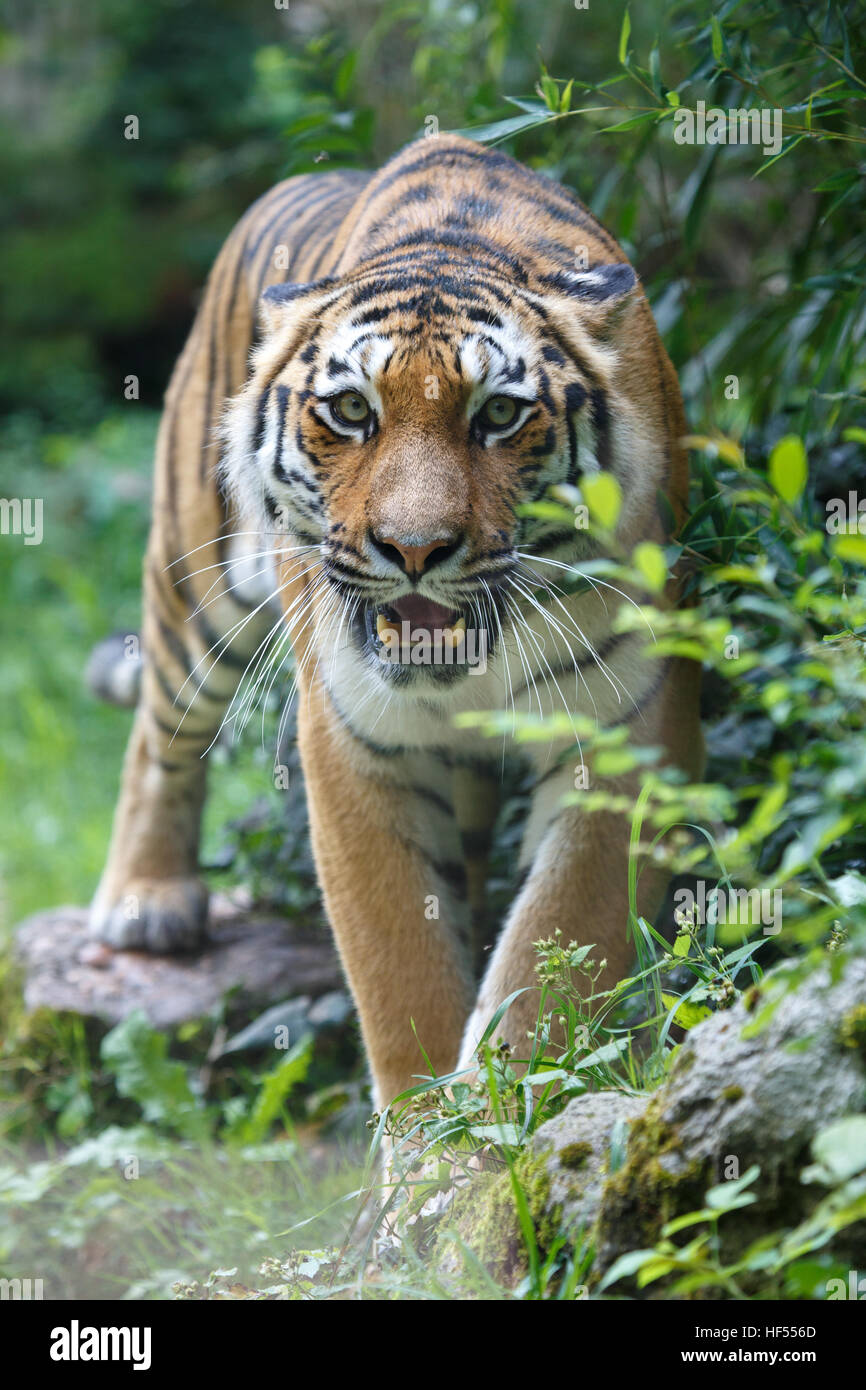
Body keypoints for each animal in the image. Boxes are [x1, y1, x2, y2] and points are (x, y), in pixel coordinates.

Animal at [91, 130, 706, 1106]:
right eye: (351, 410)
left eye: (500, 415)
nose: (414, 549)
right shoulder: (354, 736)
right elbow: (399, 964)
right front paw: (426, 1128)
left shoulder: (626, 726)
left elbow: (559, 940)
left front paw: (503, 1104)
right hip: (198, 587)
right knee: (162, 730)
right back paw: (146, 900)